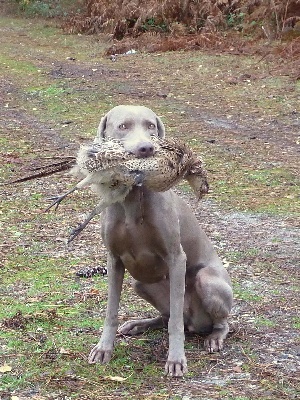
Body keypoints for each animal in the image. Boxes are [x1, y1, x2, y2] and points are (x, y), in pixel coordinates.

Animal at [88, 104, 233, 376]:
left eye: (151, 126)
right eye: (123, 126)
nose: (146, 149)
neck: (133, 197)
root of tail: (195, 323)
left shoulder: (176, 258)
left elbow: (175, 321)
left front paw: (176, 360)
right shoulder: (114, 260)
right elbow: (111, 311)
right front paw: (104, 349)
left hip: (207, 280)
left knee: (210, 321)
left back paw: (214, 338)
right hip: (140, 283)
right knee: (166, 317)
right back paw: (138, 324)